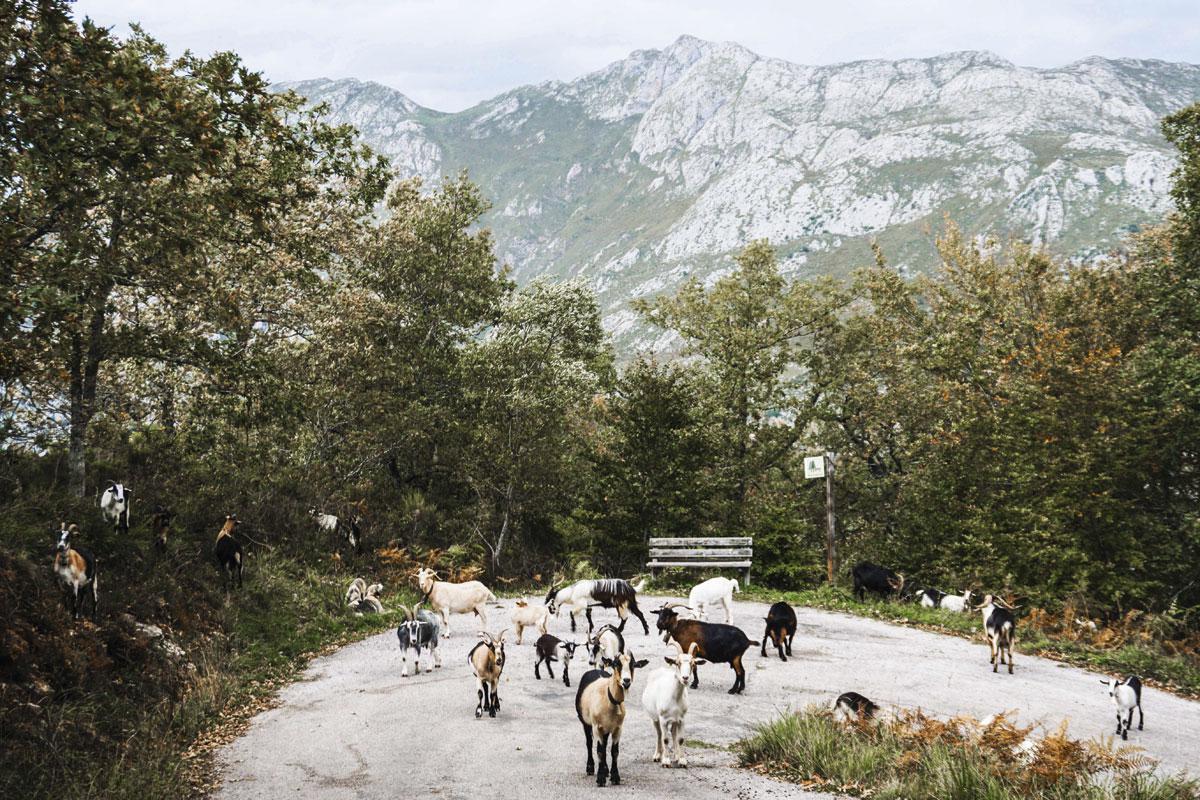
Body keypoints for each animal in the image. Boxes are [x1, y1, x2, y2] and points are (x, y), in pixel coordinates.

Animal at [573, 652, 643, 786]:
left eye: (633, 665)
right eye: (616, 664)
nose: (626, 681)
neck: (610, 699)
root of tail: (596, 669)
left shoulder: (618, 728)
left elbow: (614, 751)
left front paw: (615, 777)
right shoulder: (597, 726)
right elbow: (599, 751)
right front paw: (600, 779)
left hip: (606, 727)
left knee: (605, 745)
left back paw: (605, 770)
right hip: (586, 722)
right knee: (589, 743)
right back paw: (590, 768)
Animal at [643, 638, 705, 767]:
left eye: (693, 664)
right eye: (677, 663)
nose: (685, 678)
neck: (675, 698)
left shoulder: (681, 719)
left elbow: (680, 739)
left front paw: (682, 760)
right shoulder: (663, 719)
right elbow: (665, 739)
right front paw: (665, 761)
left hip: (675, 720)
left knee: (673, 733)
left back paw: (675, 756)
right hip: (654, 718)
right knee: (659, 734)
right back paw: (657, 756)